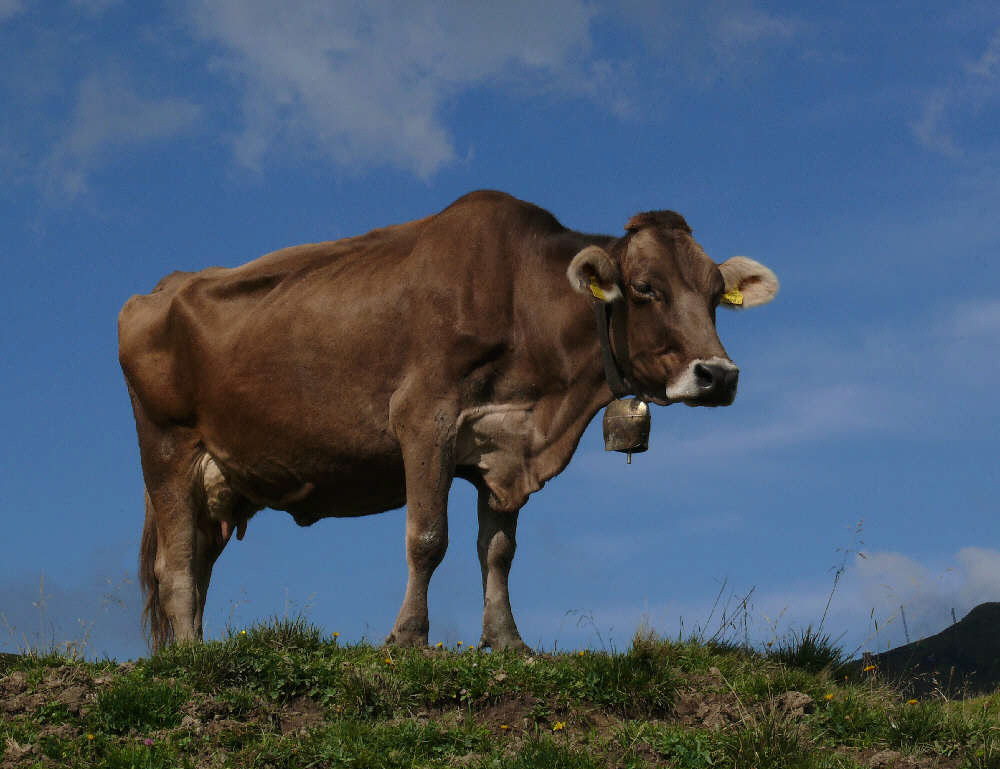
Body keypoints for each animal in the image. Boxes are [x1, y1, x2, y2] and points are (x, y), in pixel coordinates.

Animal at [115, 190, 772, 648]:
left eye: (715, 295)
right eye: (644, 288)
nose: (719, 375)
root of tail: (159, 289)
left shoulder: (502, 447)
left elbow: (498, 550)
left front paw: (506, 640)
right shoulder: (422, 419)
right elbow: (428, 539)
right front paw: (409, 636)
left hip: (220, 480)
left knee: (199, 560)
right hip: (167, 449)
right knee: (175, 564)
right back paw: (190, 656)